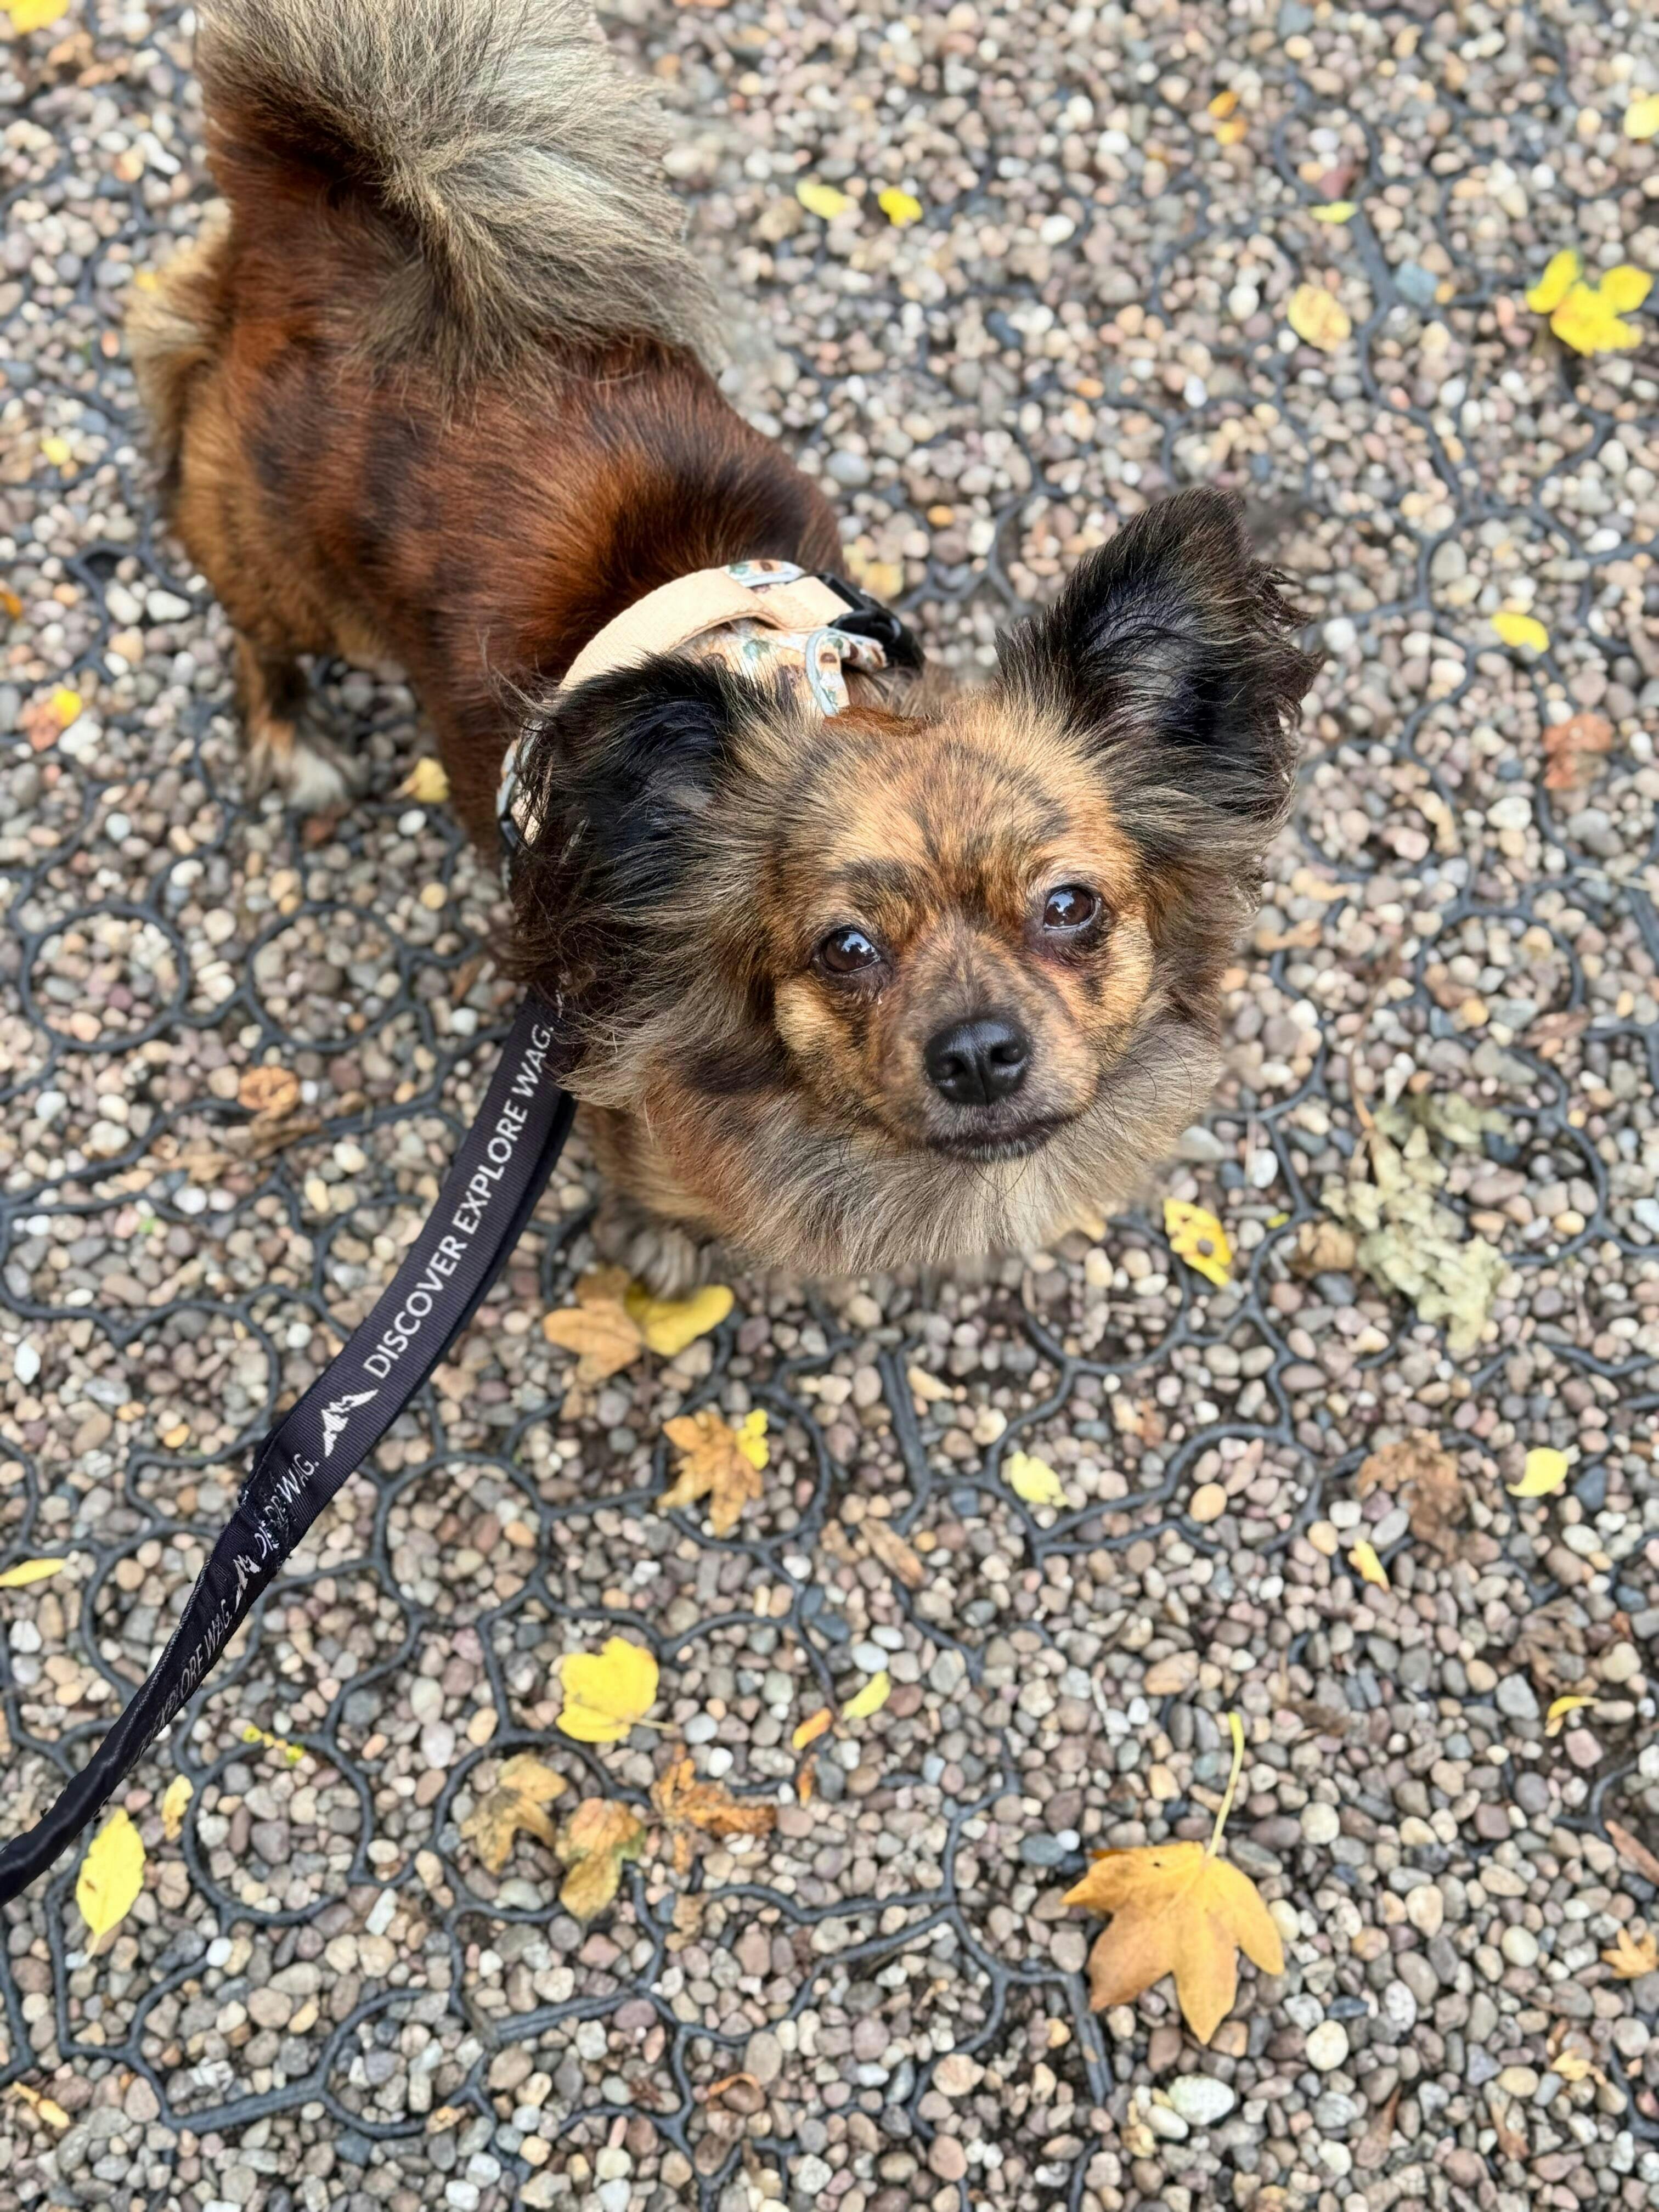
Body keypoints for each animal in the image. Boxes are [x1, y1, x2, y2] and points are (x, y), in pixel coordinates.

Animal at [129, 0, 1320, 1290]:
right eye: (845, 949)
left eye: (1070, 908)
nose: (978, 1052)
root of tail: (344, 206)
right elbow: (653, 1186)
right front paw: (658, 1241)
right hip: (283, 573)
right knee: (252, 632)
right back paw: (288, 740)